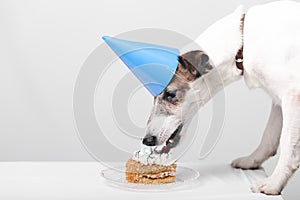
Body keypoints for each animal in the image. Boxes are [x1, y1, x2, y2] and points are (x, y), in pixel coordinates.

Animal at [142, 0, 300, 195]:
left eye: (170, 94)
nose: (146, 140)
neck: (243, 44)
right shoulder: (278, 99)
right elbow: (269, 137)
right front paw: (252, 161)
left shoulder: (292, 96)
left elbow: (287, 144)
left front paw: (274, 184)